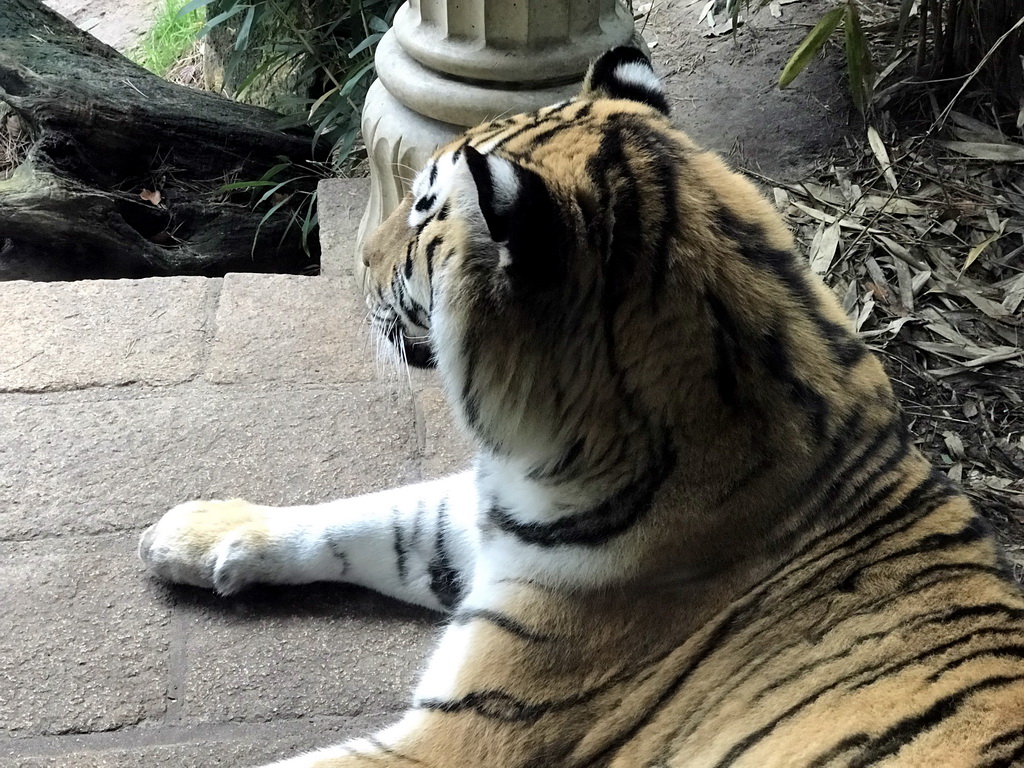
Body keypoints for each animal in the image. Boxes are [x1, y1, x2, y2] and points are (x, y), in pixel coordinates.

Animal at [140, 46, 1024, 768]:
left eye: (423, 213)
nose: (356, 260)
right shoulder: (490, 525)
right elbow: (371, 517)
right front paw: (191, 531)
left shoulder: (473, 730)